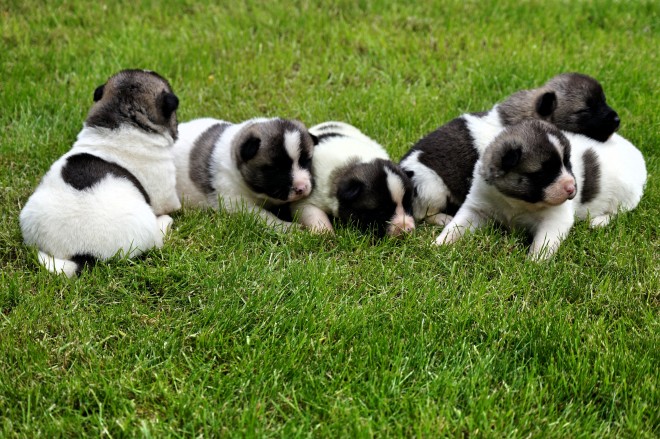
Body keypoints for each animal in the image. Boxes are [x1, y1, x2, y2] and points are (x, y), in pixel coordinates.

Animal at [19, 69, 182, 276]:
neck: (122, 119)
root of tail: (78, 256)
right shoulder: (165, 190)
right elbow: (171, 204)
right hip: (144, 227)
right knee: (155, 241)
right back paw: (164, 223)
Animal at [170, 116, 314, 230]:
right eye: (276, 169)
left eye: (306, 161)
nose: (302, 188)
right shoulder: (236, 203)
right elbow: (264, 216)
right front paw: (288, 227)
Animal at [400, 72, 620, 227]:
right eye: (584, 110)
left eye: (604, 100)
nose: (618, 120)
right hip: (432, 187)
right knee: (422, 213)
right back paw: (441, 218)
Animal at [436, 118, 580, 260]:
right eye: (543, 174)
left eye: (567, 163)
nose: (571, 187)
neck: (515, 200)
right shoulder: (476, 208)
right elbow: (456, 227)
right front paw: (440, 243)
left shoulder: (555, 219)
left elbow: (544, 244)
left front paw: (534, 261)